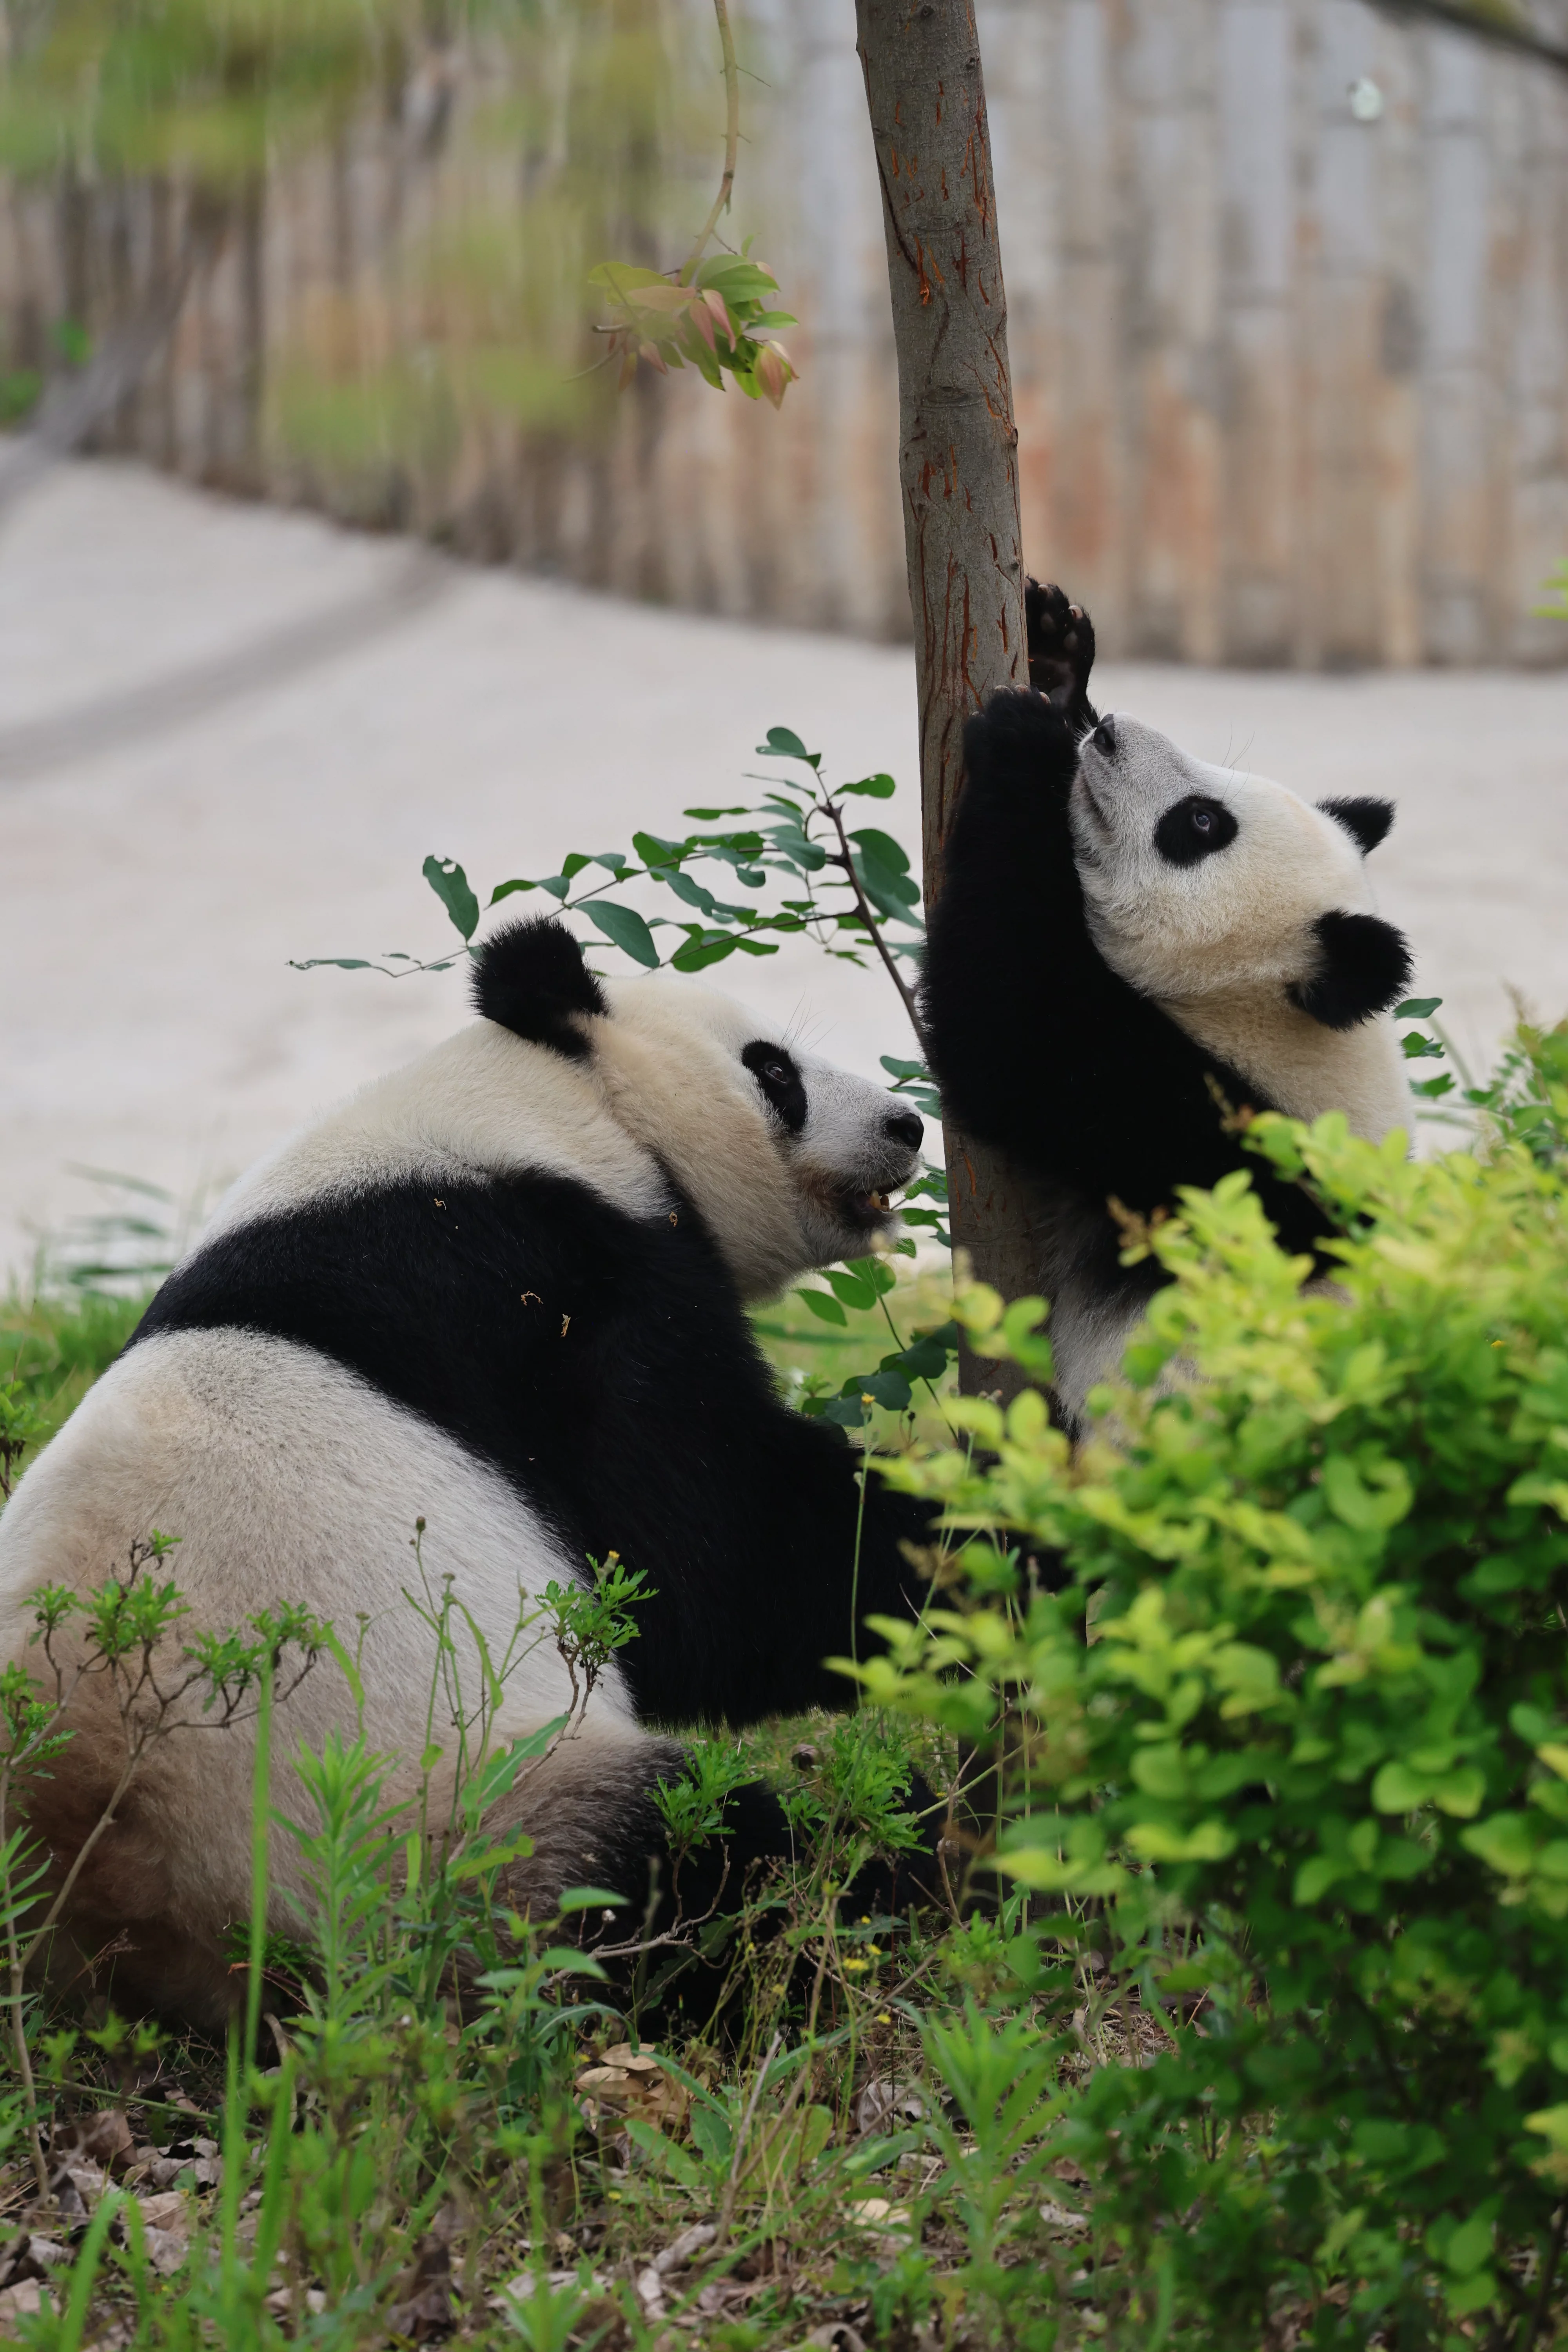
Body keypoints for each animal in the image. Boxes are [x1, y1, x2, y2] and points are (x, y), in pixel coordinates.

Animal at [0, 918, 934, 2024]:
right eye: (773, 1068)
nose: (907, 1124)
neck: (544, 1108)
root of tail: (113, 1910)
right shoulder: (545, 1294)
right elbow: (716, 1556)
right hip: (433, 1832)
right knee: (680, 1861)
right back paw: (880, 1882)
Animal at [922, 582, 1415, 1433]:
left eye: (1201, 823)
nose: (1111, 732)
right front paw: (1055, 654)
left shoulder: (1198, 1149)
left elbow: (1007, 1030)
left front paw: (1025, 744)